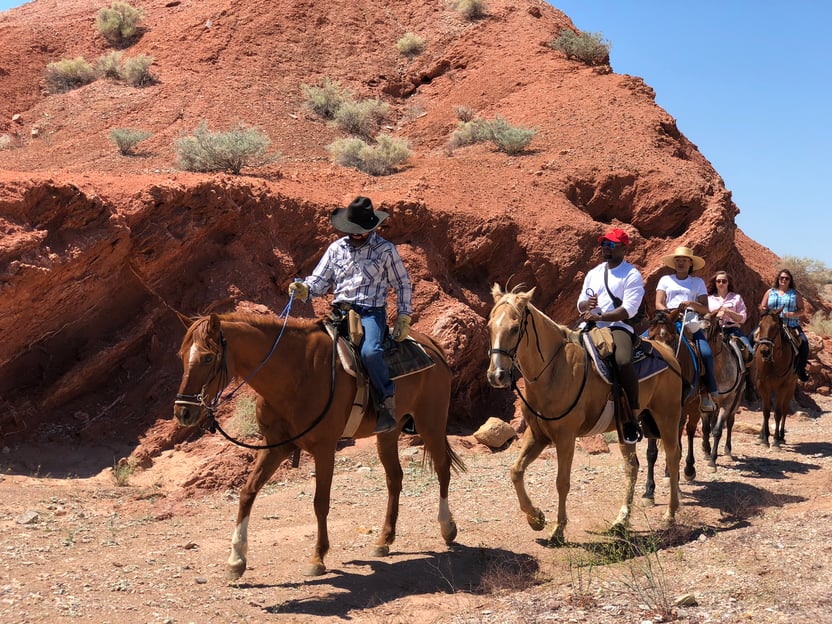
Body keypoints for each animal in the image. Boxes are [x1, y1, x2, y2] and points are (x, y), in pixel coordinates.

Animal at [173, 312, 464, 580]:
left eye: (208, 357)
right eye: (181, 355)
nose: (183, 412)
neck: (294, 375)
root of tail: (431, 345)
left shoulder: (324, 449)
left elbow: (320, 502)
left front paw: (318, 557)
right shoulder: (275, 446)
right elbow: (247, 493)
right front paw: (236, 560)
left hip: (430, 423)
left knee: (443, 469)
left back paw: (447, 527)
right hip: (388, 433)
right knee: (395, 478)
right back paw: (384, 540)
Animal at [488, 286, 684, 544]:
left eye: (513, 328)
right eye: (490, 327)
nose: (496, 375)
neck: (553, 370)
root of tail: (668, 352)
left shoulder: (565, 437)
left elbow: (562, 482)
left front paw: (558, 529)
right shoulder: (537, 434)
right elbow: (516, 471)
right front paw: (536, 518)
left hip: (667, 417)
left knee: (672, 457)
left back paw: (670, 514)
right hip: (627, 428)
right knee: (632, 467)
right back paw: (621, 521)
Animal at [752, 308, 796, 448]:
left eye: (776, 327)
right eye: (760, 325)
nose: (765, 351)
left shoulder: (783, 386)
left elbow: (778, 412)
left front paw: (776, 440)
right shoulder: (762, 385)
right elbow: (766, 411)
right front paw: (765, 438)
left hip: (791, 387)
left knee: (785, 409)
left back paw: (781, 436)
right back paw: (761, 435)